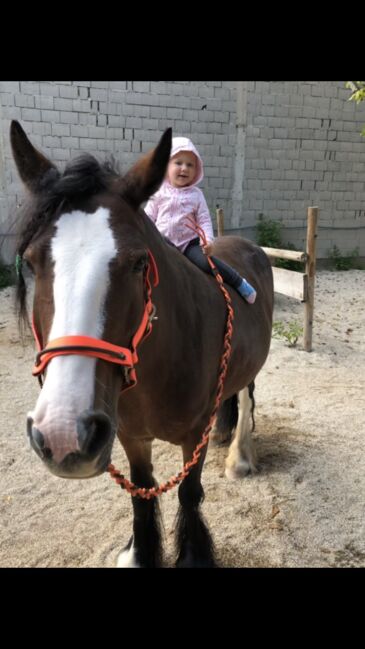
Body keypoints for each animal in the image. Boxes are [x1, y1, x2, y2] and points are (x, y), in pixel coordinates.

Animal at [9, 119, 272, 564]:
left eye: (138, 262)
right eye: (30, 261)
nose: (63, 433)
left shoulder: (193, 435)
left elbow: (189, 493)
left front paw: (193, 555)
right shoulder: (130, 435)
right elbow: (141, 493)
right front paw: (141, 552)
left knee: (247, 396)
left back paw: (239, 457)